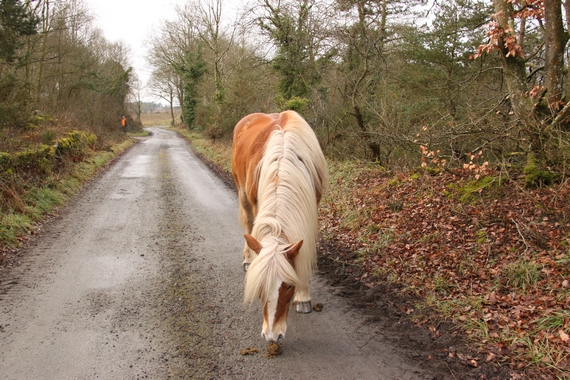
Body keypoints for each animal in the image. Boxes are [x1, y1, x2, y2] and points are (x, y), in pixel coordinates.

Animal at [231, 111, 328, 342]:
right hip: (243, 194)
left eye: (289, 286)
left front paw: (303, 297)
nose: (271, 336)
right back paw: (248, 259)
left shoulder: (311, 208)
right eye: (259, 287)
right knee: (249, 225)